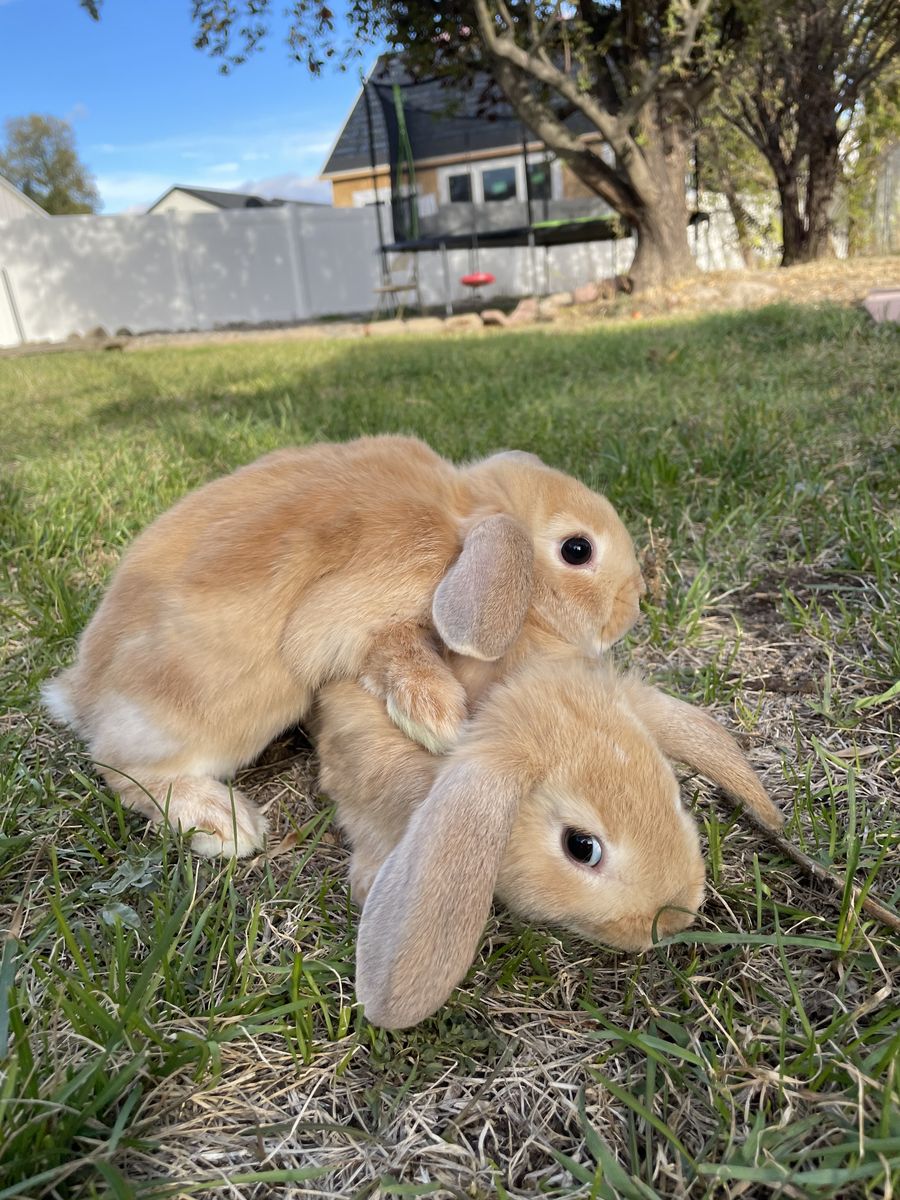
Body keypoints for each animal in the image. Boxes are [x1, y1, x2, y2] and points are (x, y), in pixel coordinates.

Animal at [43, 435, 645, 858]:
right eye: (576, 549)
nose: (632, 606)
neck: (457, 511)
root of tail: (82, 696)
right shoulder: (361, 611)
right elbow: (391, 651)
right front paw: (442, 720)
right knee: (120, 768)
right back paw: (226, 823)